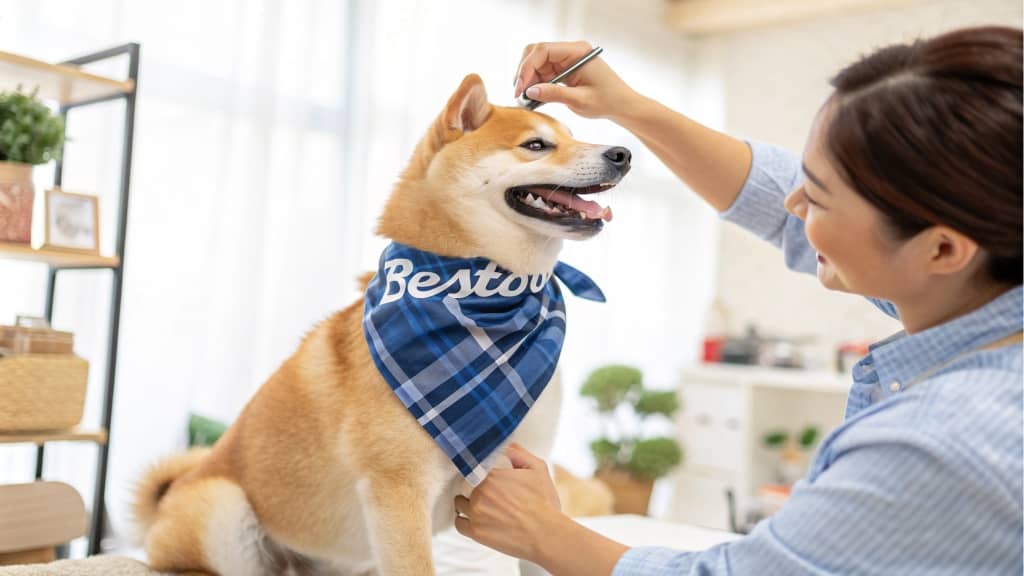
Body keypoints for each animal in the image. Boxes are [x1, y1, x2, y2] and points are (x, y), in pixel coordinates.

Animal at [134, 73, 630, 569]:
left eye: (572, 136)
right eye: (536, 145)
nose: (623, 154)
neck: (490, 299)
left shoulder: (527, 473)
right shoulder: (398, 488)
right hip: (223, 508)